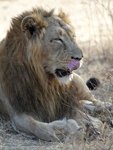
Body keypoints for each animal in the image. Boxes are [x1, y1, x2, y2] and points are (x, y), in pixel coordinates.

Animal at [0, 7, 111, 141]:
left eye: (73, 37)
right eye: (58, 39)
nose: (80, 58)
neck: (45, 81)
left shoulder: (66, 103)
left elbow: (90, 118)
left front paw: (93, 126)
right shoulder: (18, 112)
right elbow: (39, 128)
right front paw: (69, 127)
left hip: (78, 82)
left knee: (93, 100)